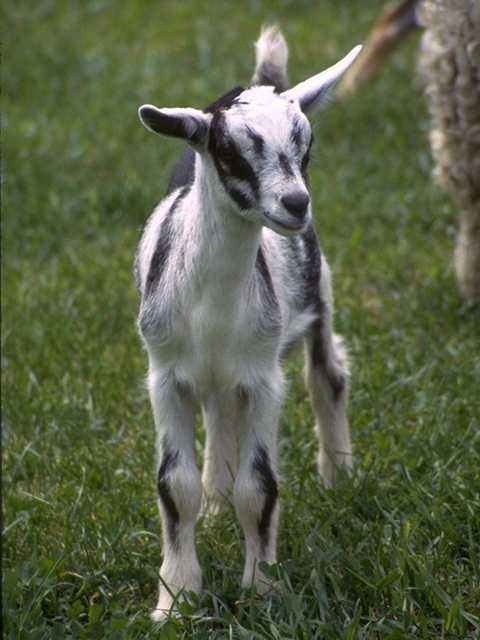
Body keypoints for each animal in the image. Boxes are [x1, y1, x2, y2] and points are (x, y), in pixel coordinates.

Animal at [135, 27, 360, 616]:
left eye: (307, 146)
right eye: (230, 151)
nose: (295, 203)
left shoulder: (263, 377)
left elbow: (259, 488)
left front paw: (262, 589)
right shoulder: (164, 375)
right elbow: (176, 486)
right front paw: (176, 596)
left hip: (318, 290)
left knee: (327, 375)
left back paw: (340, 477)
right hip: (213, 373)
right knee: (219, 414)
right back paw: (215, 507)